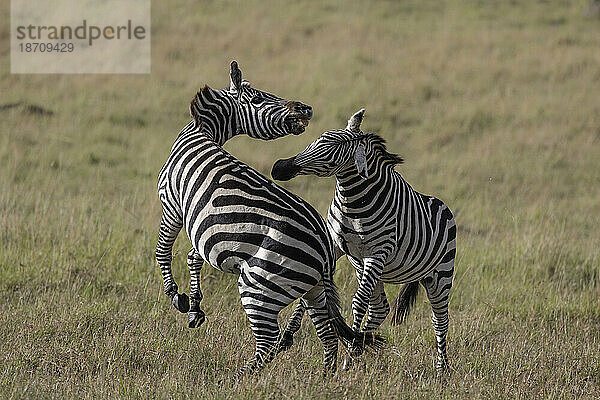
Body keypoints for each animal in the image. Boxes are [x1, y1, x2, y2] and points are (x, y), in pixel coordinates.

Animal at [155, 64, 380, 376]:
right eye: (259, 98)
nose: (305, 108)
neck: (201, 132)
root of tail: (324, 248)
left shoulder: (172, 204)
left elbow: (163, 251)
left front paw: (176, 295)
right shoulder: (204, 228)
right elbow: (193, 257)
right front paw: (195, 307)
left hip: (259, 286)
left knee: (268, 341)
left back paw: (238, 377)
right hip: (313, 288)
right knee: (327, 333)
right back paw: (324, 377)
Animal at [270, 108, 454, 374]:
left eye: (331, 154)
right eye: (318, 138)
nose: (279, 168)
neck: (354, 201)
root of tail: (443, 205)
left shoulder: (377, 254)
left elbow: (357, 302)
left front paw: (349, 352)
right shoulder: (334, 245)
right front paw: (285, 339)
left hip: (439, 276)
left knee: (440, 320)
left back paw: (441, 370)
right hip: (372, 270)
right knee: (380, 308)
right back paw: (359, 346)